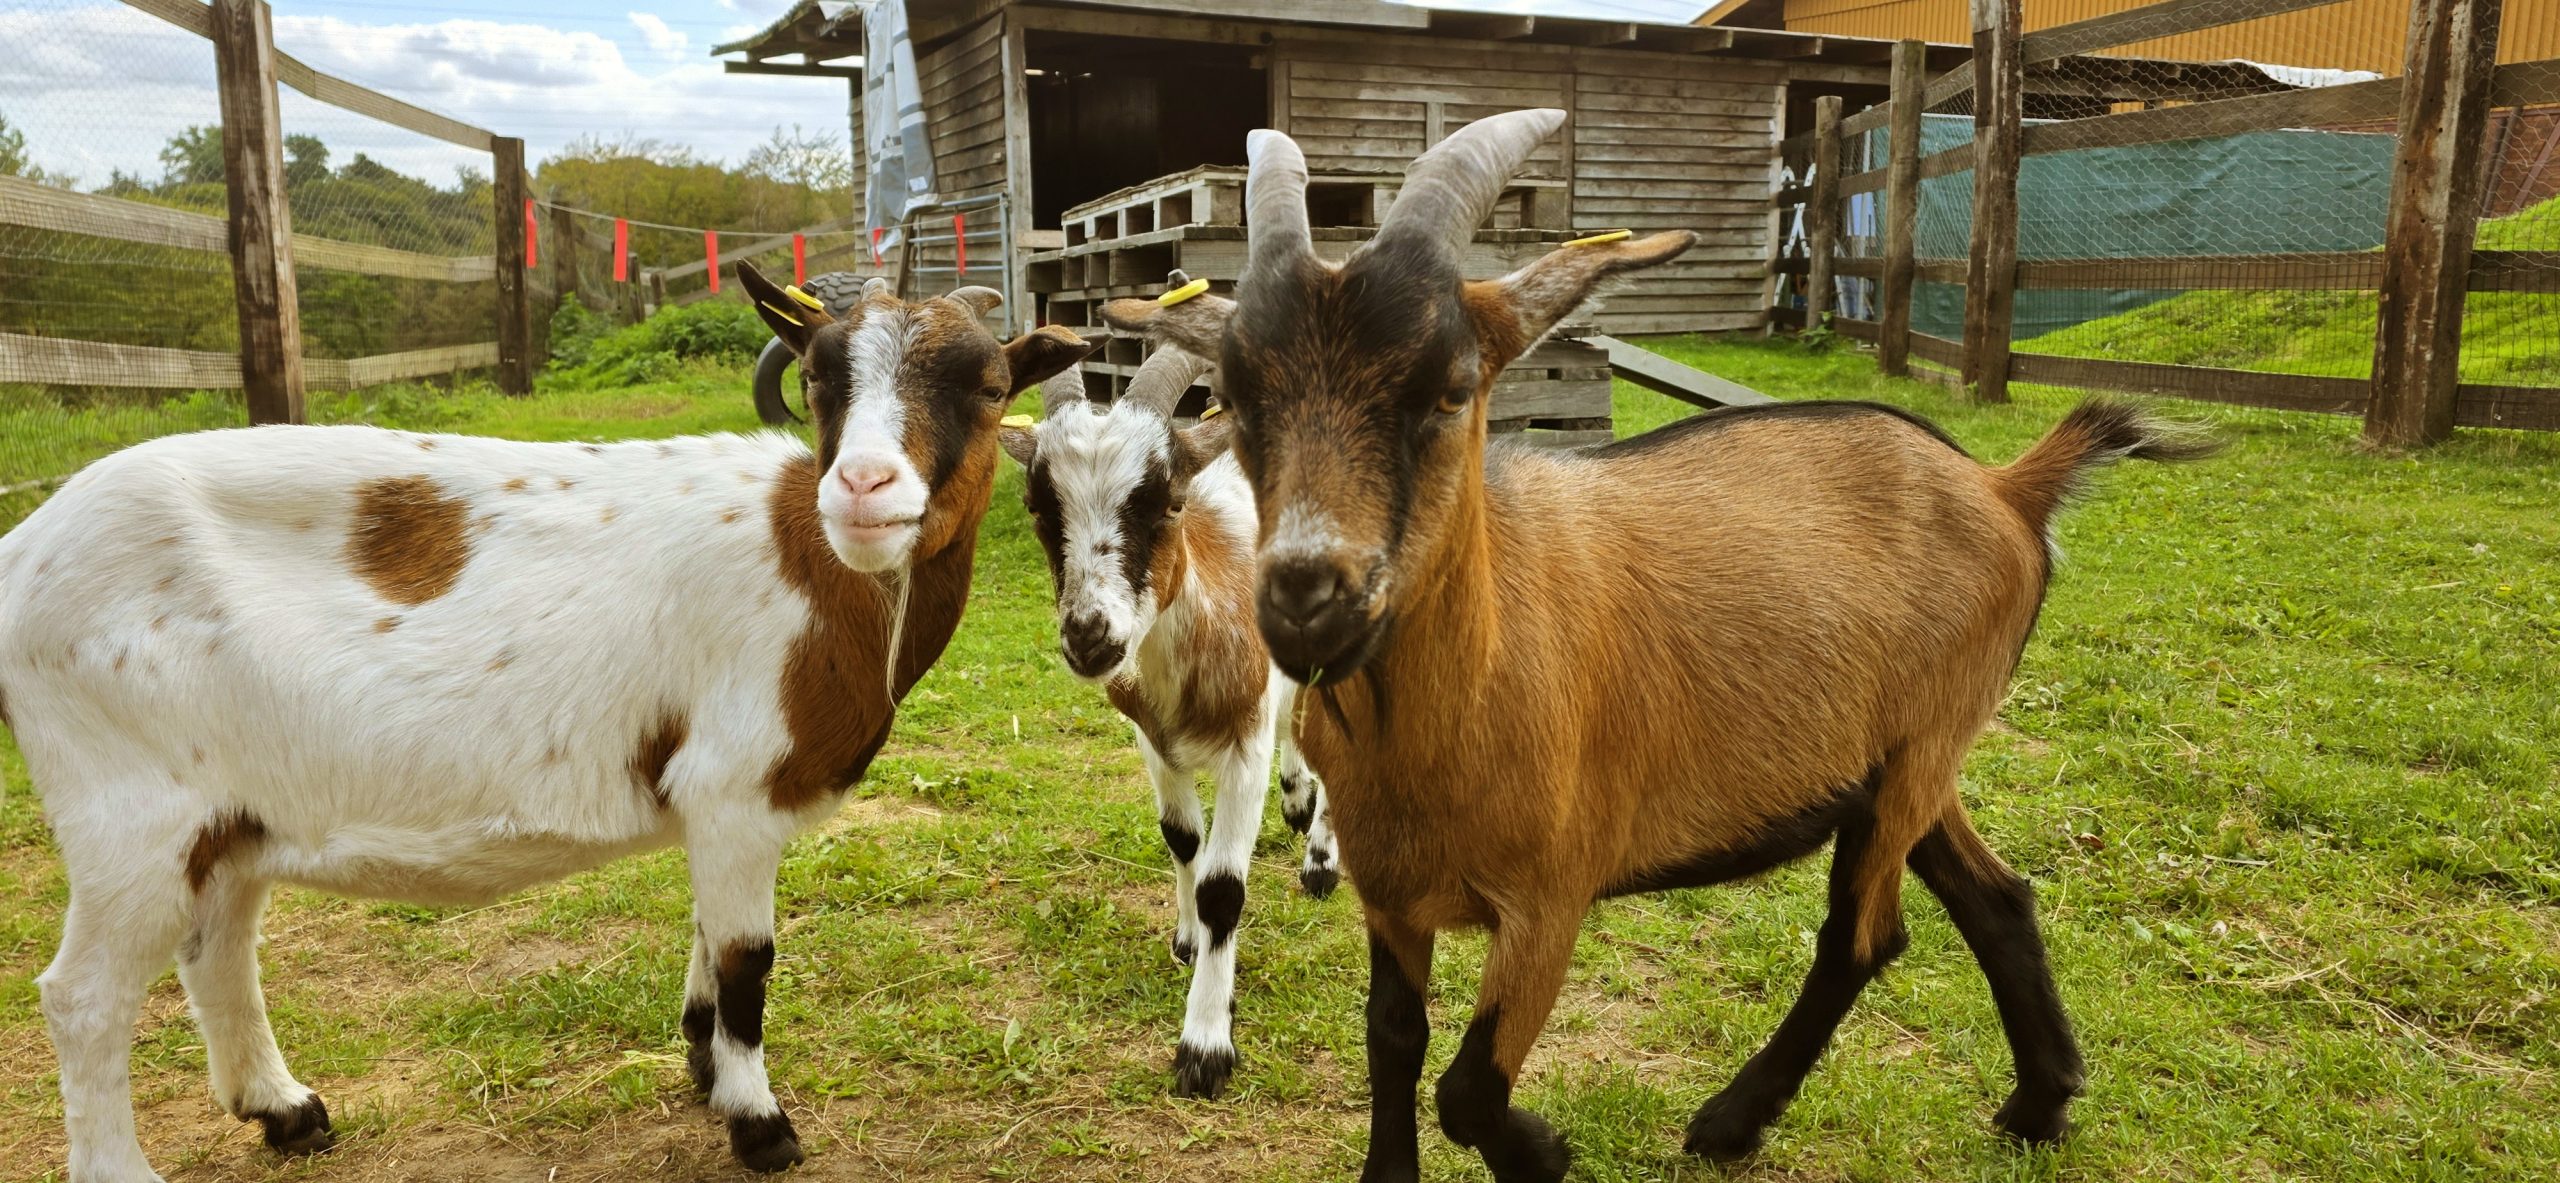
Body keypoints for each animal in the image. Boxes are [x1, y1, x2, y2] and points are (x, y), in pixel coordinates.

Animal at [0, 260, 1092, 1182]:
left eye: (987, 384)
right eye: (822, 376)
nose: (865, 488)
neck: (825, 572)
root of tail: (25, 548)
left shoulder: (712, 805)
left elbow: (708, 943)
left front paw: (704, 1070)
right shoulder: (736, 783)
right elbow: (747, 963)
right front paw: (760, 1125)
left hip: (224, 807)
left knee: (216, 947)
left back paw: (285, 1109)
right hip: (128, 806)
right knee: (85, 997)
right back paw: (127, 1164)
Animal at [996, 341, 1340, 1100]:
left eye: (1168, 500)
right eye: (1038, 504)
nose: (1090, 637)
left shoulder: (1243, 744)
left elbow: (1223, 888)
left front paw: (1205, 1046)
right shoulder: (1152, 740)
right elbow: (1183, 840)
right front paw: (1187, 942)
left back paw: (1321, 862)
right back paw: (1297, 801)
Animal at [1102, 110, 2214, 1181]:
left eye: (1452, 386)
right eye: (1238, 396)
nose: (1304, 601)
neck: (1460, 702)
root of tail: (2004, 486)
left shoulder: (1549, 903)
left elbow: (1467, 1089)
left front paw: (1546, 1150)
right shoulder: (1391, 896)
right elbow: (1392, 1041)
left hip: (1921, 749)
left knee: (1862, 936)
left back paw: (1730, 1120)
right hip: (1907, 760)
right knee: (1996, 898)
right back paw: (2039, 1103)